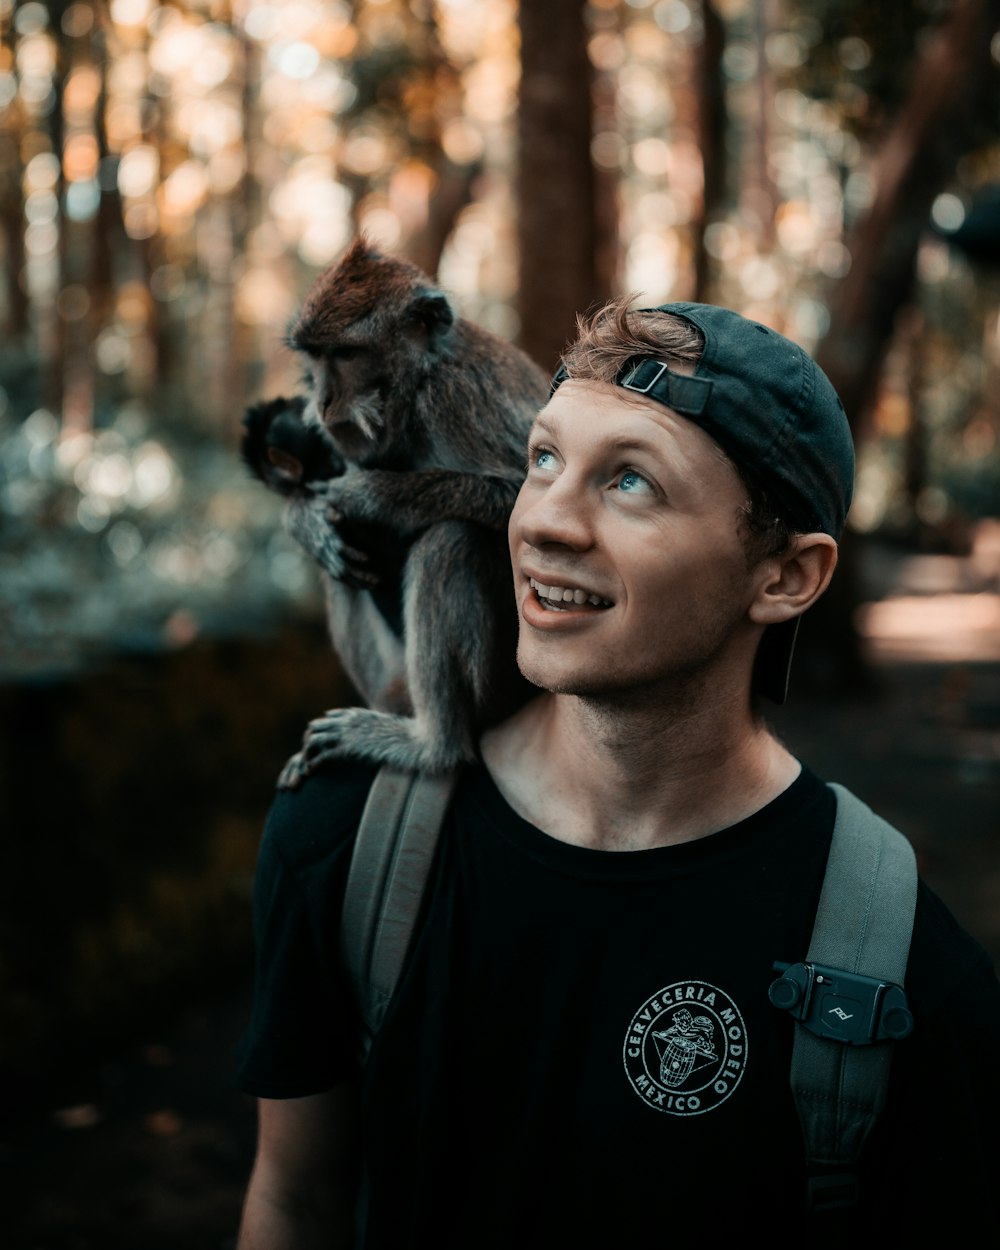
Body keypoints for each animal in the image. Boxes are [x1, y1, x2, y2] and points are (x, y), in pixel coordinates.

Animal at [245, 236, 550, 780]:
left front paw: (373, 495)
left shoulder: (454, 398)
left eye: (346, 354)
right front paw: (304, 519)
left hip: (511, 680)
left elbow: (526, 500)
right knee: (343, 564)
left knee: (451, 540)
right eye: (316, 356)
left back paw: (431, 745)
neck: (417, 383)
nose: (321, 400)